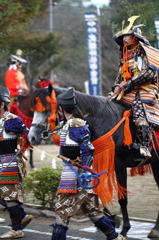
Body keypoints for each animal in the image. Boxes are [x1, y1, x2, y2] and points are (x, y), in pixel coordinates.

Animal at [28, 85, 159, 237]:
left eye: (46, 109)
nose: (32, 137)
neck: (101, 121)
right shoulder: (95, 164)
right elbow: (97, 191)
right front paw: (112, 218)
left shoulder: (119, 164)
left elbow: (123, 198)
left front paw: (125, 228)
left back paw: (155, 228)